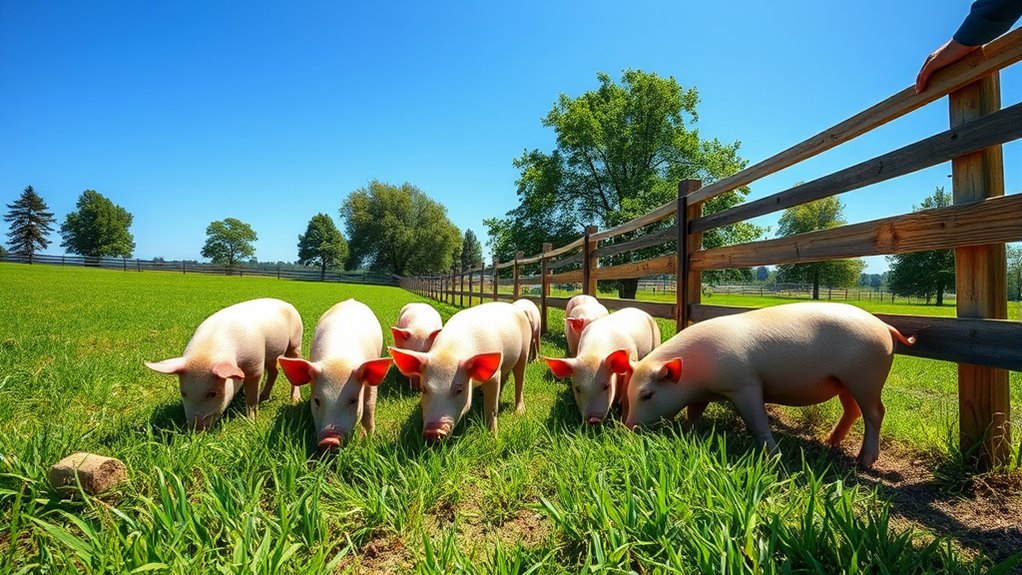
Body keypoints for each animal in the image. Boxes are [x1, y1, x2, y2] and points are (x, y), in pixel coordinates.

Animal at [145, 298, 303, 430]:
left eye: (213, 394)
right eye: (183, 393)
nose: (196, 429)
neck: (208, 350)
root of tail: (287, 303)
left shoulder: (255, 365)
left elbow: (252, 397)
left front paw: (251, 422)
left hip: (296, 341)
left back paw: (294, 400)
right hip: (272, 354)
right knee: (274, 370)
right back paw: (264, 397)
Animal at [277, 299, 393, 450]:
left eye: (353, 400)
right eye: (316, 400)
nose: (329, 440)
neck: (338, 360)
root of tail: (352, 300)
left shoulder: (370, 386)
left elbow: (368, 408)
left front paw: (366, 442)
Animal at [388, 301, 531, 442]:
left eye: (459, 390)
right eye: (424, 389)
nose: (433, 432)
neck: (450, 352)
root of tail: (515, 307)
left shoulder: (494, 376)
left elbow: (491, 408)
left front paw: (493, 437)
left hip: (525, 350)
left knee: (520, 379)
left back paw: (519, 412)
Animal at [624, 302, 916, 467]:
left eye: (647, 395)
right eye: (628, 394)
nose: (627, 426)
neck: (697, 375)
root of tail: (884, 326)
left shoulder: (745, 385)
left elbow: (757, 419)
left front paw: (773, 456)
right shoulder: (701, 393)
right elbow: (694, 413)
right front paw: (690, 434)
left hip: (866, 377)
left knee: (876, 413)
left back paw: (864, 462)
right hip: (845, 382)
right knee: (853, 410)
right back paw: (829, 441)